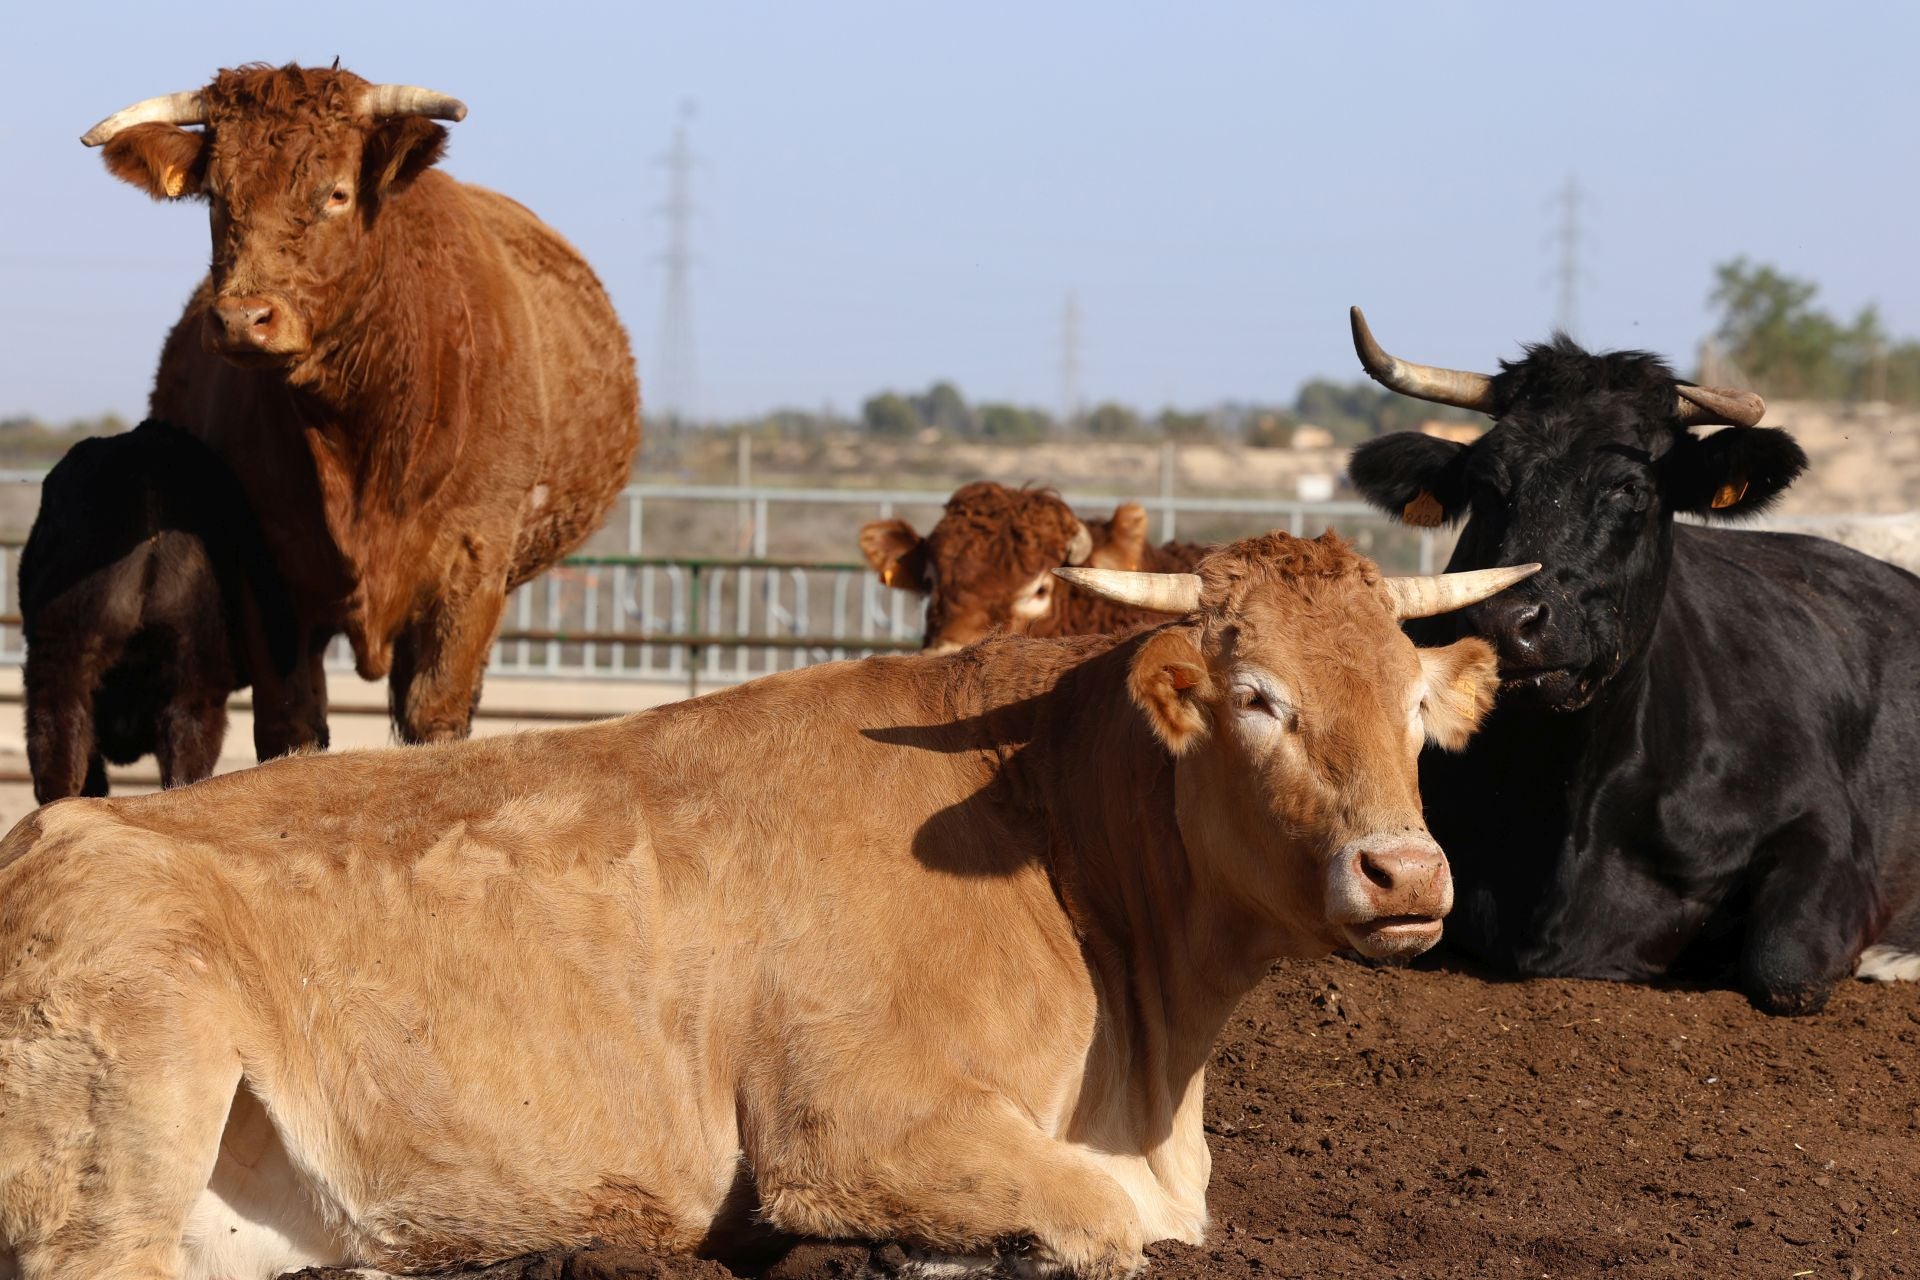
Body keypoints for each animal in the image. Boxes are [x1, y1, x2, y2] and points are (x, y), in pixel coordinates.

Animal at [0, 533, 1528, 1280]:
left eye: (1411, 702)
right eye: (1259, 697)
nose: (1408, 873)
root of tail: (49, 829)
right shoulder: (851, 1118)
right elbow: (1095, 1221)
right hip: (138, 1083)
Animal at [82, 65, 641, 752]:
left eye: (338, 194)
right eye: (215, 197)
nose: (243, 317)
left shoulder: (474, 564)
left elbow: (436, 714)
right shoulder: (265, 578)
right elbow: (291, 724)